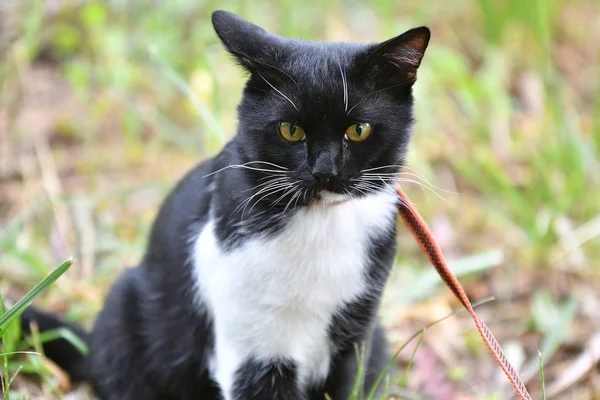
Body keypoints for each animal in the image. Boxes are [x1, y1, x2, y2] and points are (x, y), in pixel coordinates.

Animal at [19, 9, 432, 400]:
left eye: (358, 130)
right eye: (291, 130)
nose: (325, 172)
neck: (317, 221)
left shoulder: (356, 339)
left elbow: (351, 382)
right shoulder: (252, 348)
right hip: (126, 313)